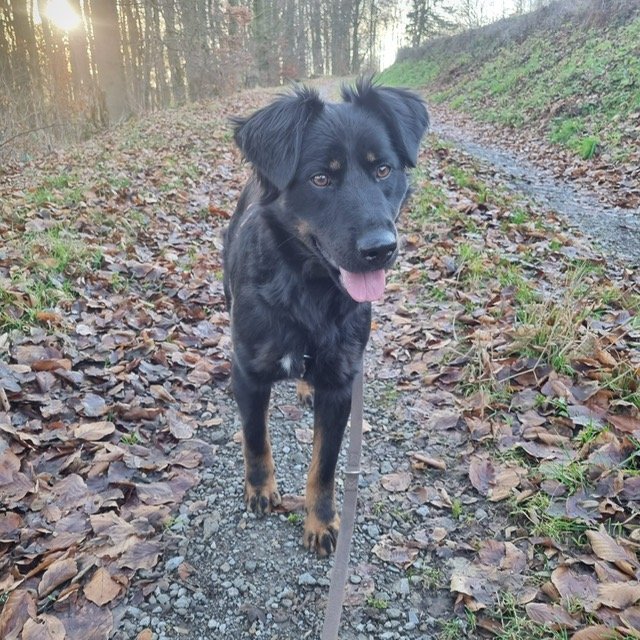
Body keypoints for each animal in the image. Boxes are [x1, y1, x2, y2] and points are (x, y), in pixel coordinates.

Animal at [223, 78, 429, 556]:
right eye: (321, 179)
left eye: (383, 171)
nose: (381, 249)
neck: (309, 290)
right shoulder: (249, 371)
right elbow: (255, 437)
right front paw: (260, 488)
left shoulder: (340, 384)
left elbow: (325, 466)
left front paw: (320, 521)